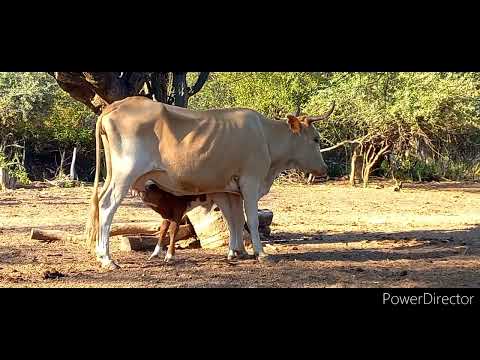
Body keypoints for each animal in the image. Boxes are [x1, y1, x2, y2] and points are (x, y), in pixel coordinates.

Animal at [85, 97, 334, 268]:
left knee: (99, 203)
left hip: (113, 175)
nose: (324, 169)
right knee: (107, 206)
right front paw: (261, 253)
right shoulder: (250, 182)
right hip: (125, 174)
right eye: (316, 139)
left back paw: (100, 254)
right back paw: (107, 259)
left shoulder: (230, 190)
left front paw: (237, 252)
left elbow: (235, 220)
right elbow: (251, 220)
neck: (265, 136)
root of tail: (116, 106)